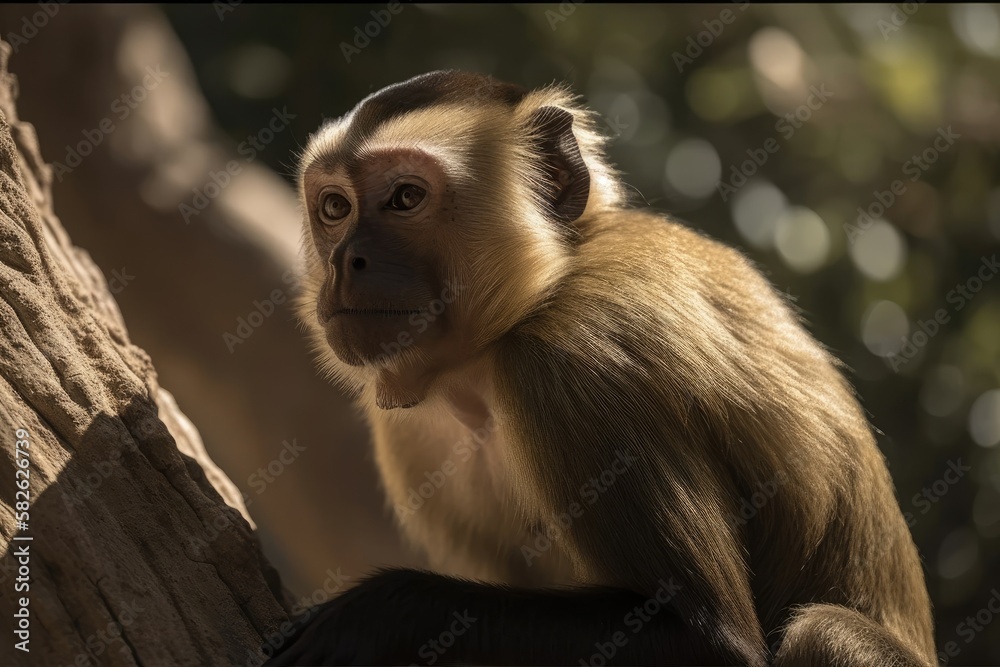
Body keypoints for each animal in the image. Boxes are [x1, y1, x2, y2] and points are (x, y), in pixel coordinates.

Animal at [262, 70, 932, 664]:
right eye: (334, 207)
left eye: (405, 197)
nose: (346, 261)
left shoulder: (573, 361)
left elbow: (709, 640)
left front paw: (373, 615)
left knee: (822, 633)